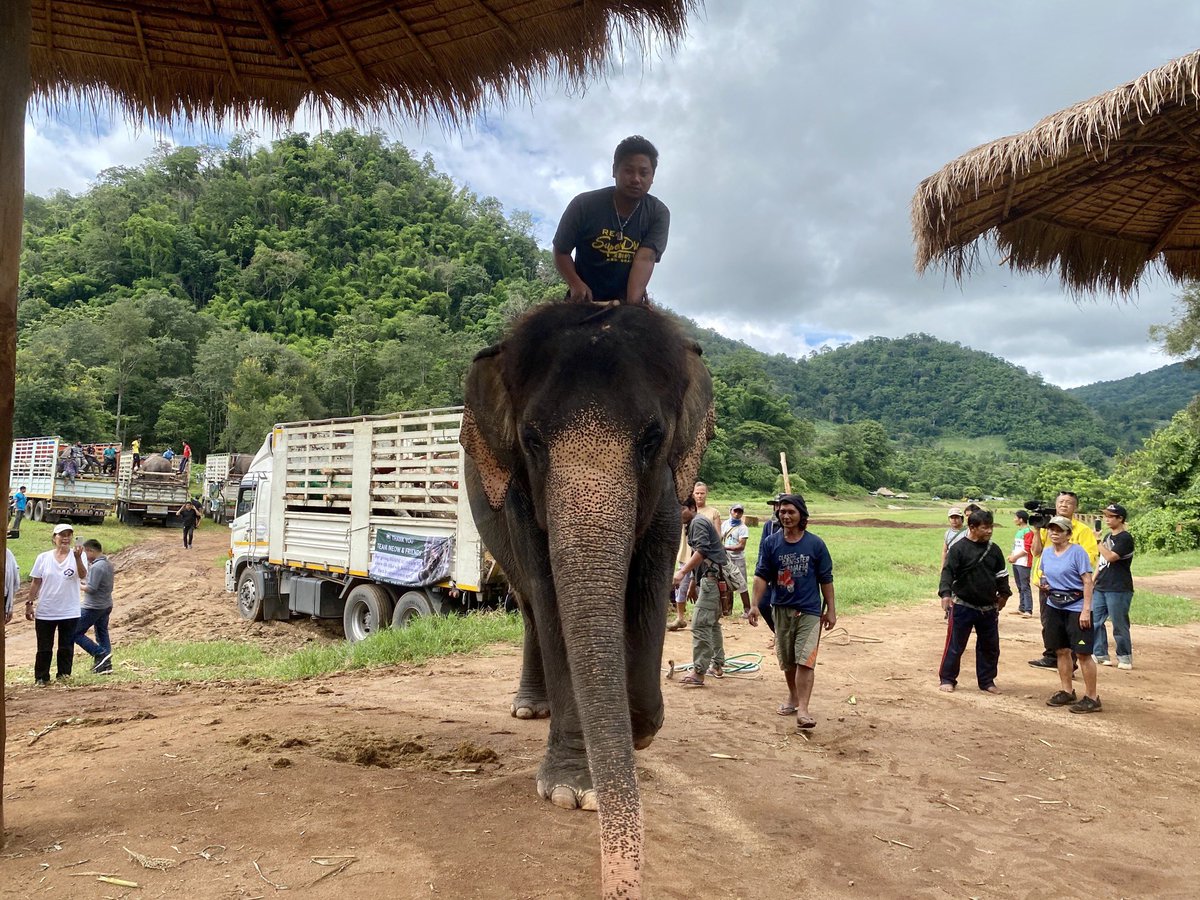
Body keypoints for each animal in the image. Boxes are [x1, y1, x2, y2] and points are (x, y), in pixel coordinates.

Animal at [460, 302, 714, 899]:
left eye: (652, 440)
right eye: (531, 441)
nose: (618, 878)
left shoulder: (667, 496)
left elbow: (649, 584)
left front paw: (639, 729)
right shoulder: (520, 500)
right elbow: (551, 594)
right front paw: (573, 792)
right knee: (532, 606)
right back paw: (531, 708)